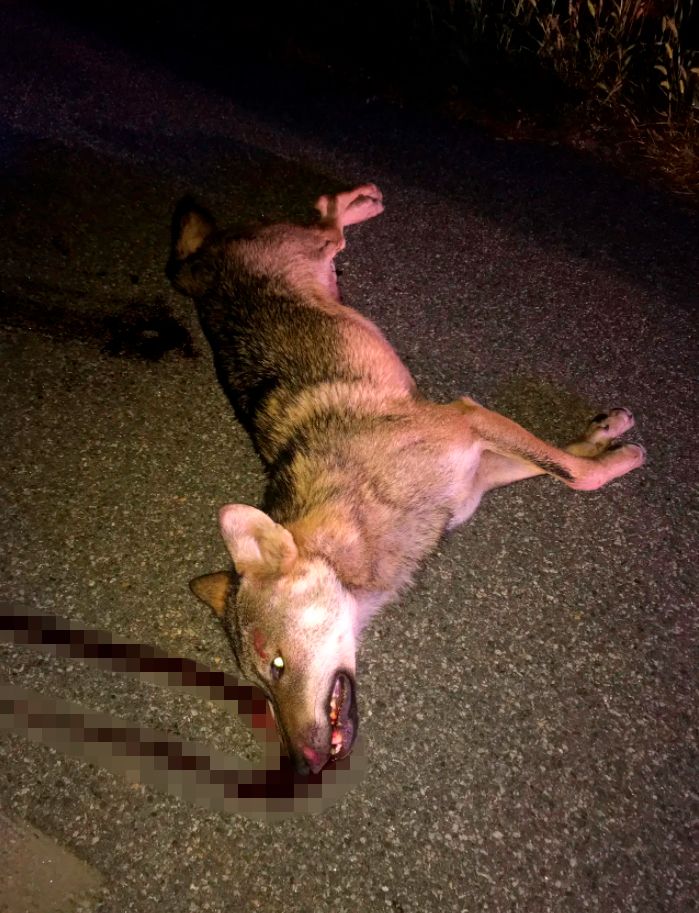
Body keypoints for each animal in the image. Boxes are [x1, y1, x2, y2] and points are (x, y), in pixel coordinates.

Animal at [167, 184, 645, 774]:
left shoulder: (469, 423)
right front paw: (606, 437)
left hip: (316, 249)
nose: (302, 767)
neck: (362, 512)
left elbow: (573, 471)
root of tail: (199, 264)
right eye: (260, 685)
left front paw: (614, 446)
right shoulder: (478, 465)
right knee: (328, 220)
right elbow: (567, 459)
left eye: (276, 665)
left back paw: (359, 200)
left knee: (329, 218)